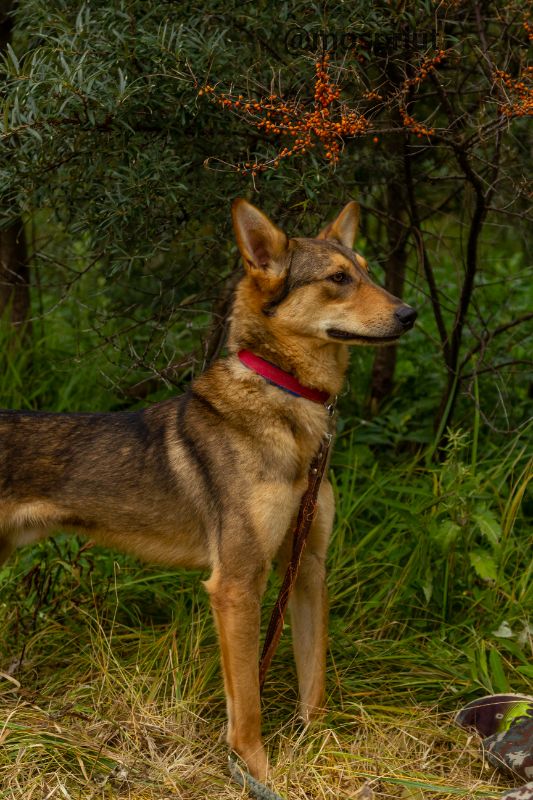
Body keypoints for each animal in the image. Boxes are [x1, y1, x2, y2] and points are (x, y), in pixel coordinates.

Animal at [0, 202, 416, 780]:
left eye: (368, 271)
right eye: (338, 279)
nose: (410, 314)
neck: (288, 404)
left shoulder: (307, 568)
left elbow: (313, 681)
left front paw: (319, 747)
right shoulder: (237, 584)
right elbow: (248, 705)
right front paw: (255, 773)